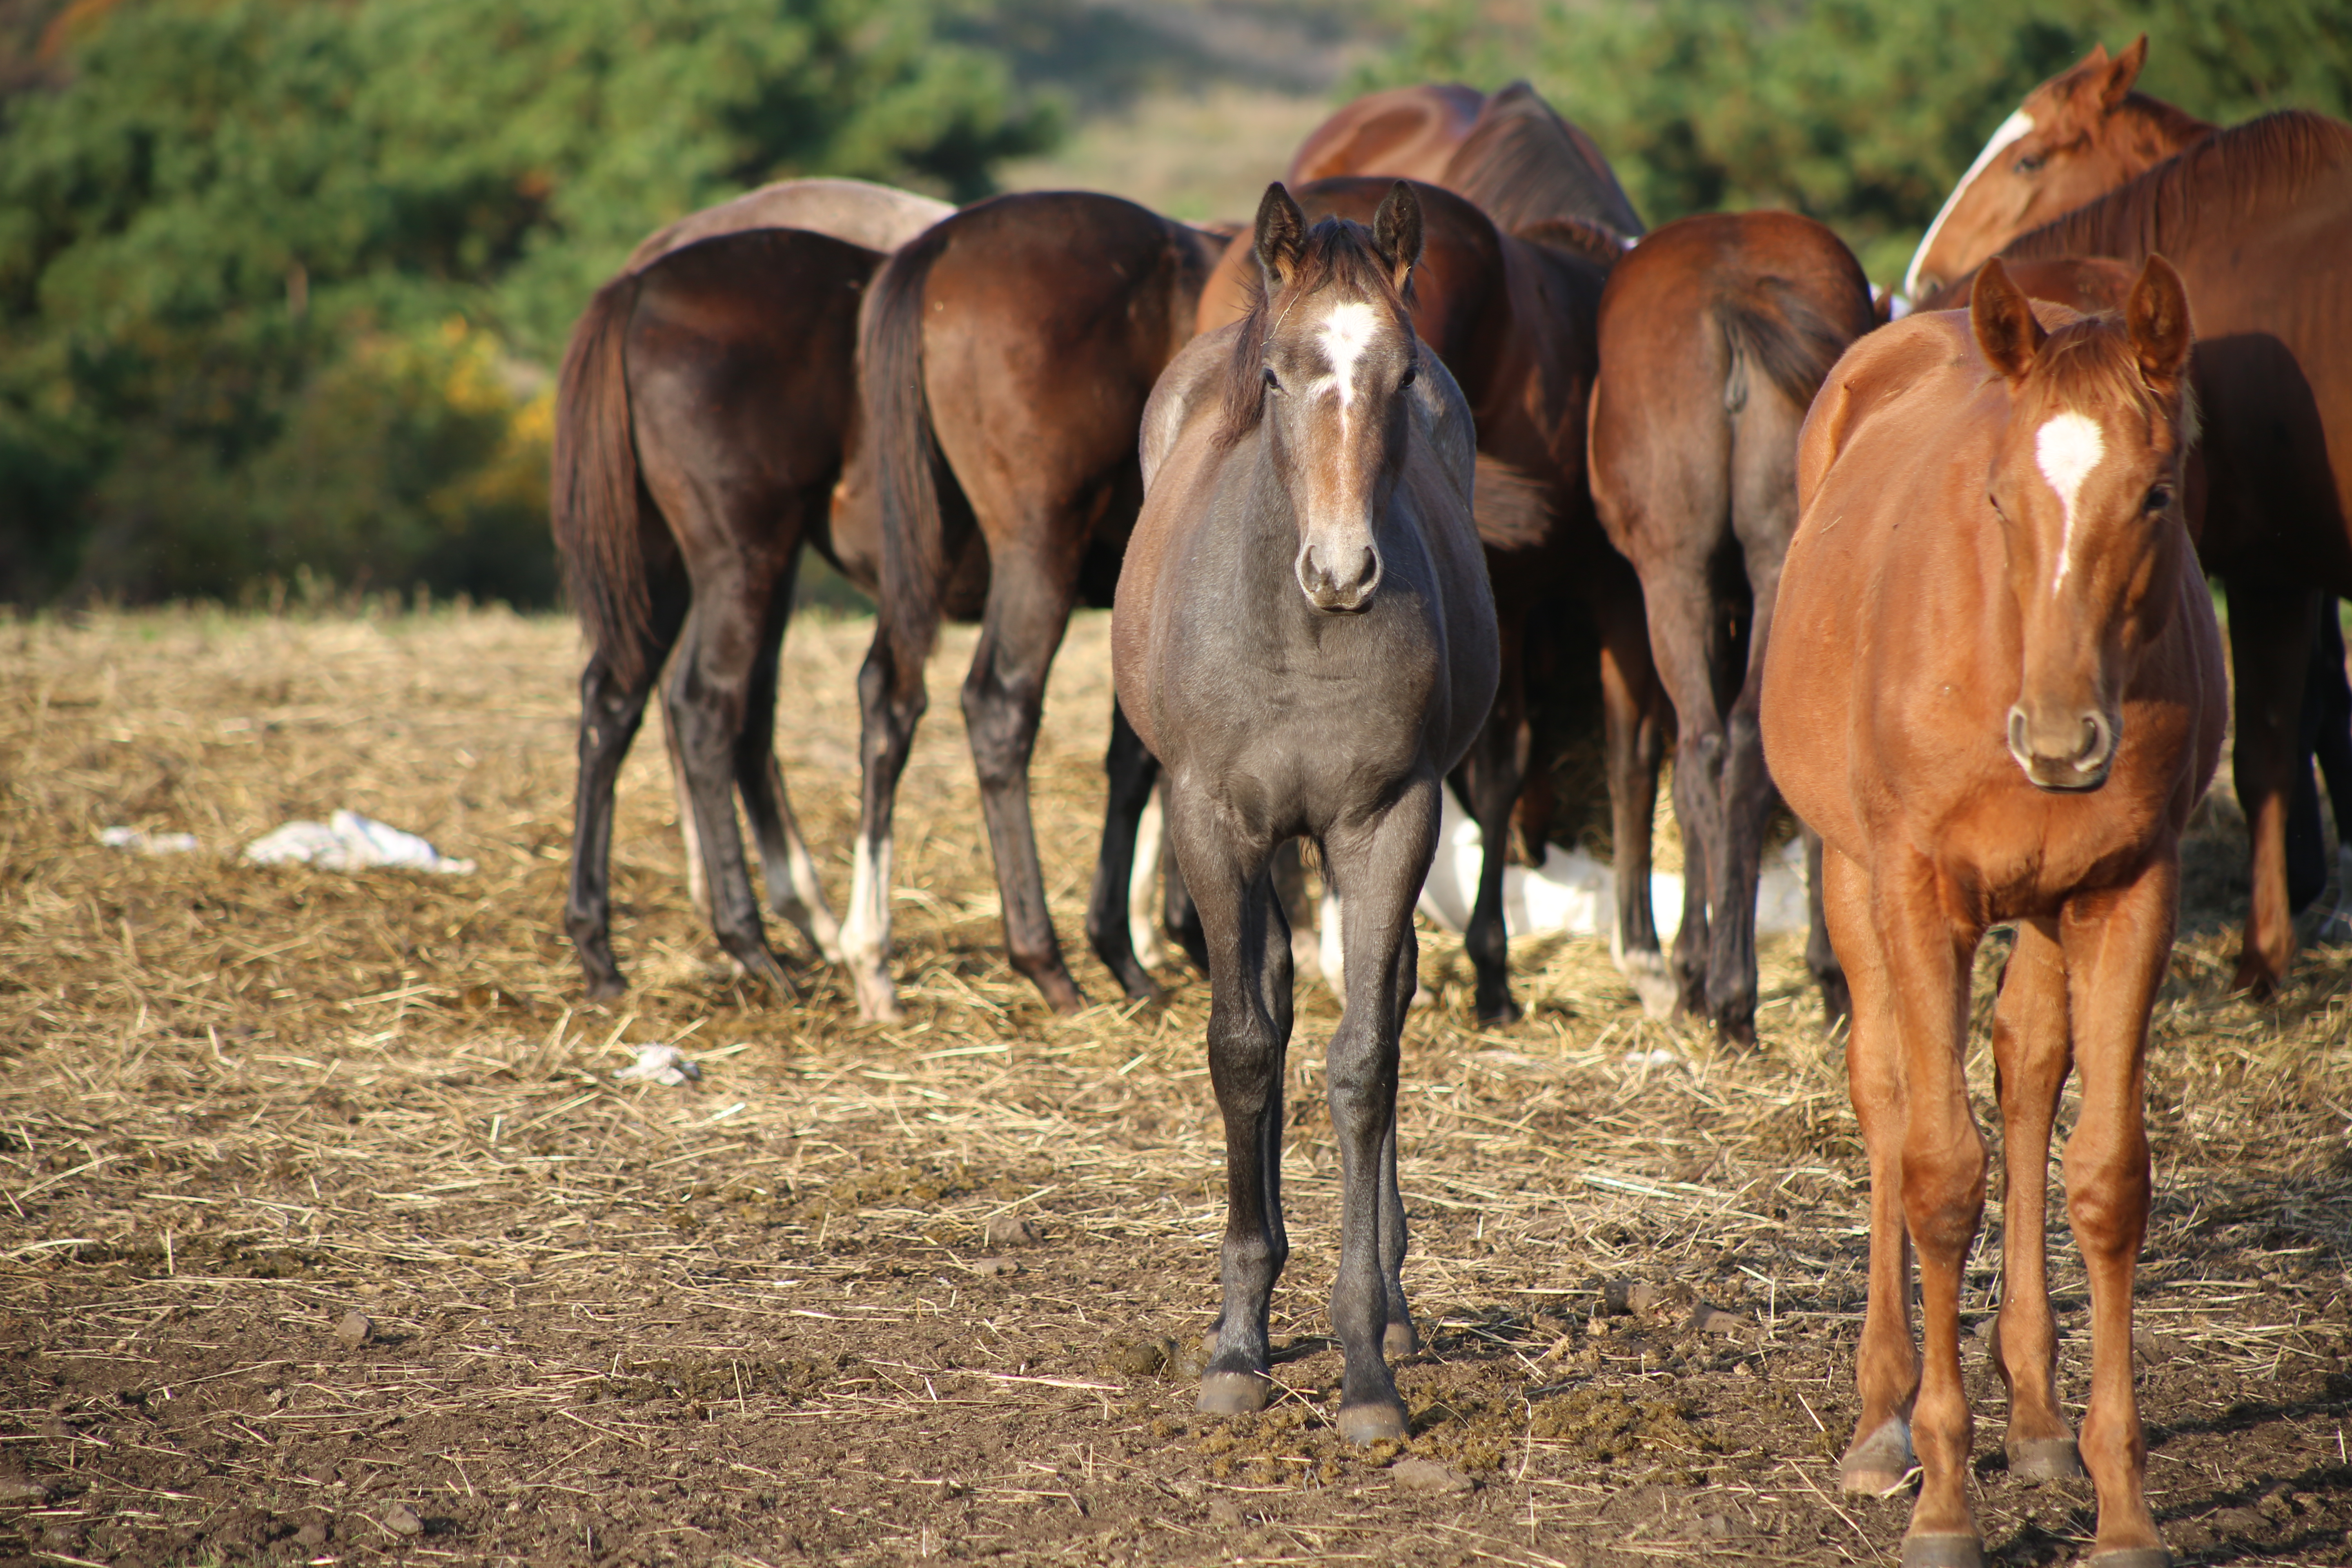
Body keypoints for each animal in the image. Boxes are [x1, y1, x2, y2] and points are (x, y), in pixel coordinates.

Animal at [842, 190, 1223, 1025]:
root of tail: (943, 245)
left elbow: (1139, 755)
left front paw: (1138, 945)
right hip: (1037, 549)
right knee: (998, 705)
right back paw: (1044, 961)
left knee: (888, 697)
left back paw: (871, 956)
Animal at [1110, 184, 1496, 1448]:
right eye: (1278, 377)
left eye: (1400, 374)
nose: (1341, 571)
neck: (1296, 635)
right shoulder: (1212, 823)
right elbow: (1242, 1047)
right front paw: (1238, 1346)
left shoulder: (1387, 822)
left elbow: (1363, 1062)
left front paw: (1365, 1359)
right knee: (1269, 1006)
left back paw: (1399, 1306)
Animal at [1580, 208, 1872, 1044]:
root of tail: (1736, 294)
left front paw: (1689, 964)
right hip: (1783, 561)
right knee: (1754, 745)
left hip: (1673, 576)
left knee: (1704, 747)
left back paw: (1720, 988)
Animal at [1768, 257, 2220, 1568]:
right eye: (1997, 496)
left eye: (2156, 493)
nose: (2061, 742)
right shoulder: (1919, 890)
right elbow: (1936, 1170)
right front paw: (1940, 1501)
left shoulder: (2128, 892)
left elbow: (2106, 1178)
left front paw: (2122, 1512)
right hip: (1849, 870)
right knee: (1882, 1086)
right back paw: (1881, 1421)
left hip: (2050, 908)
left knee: (2025, 1069)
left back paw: (2034, 1418)